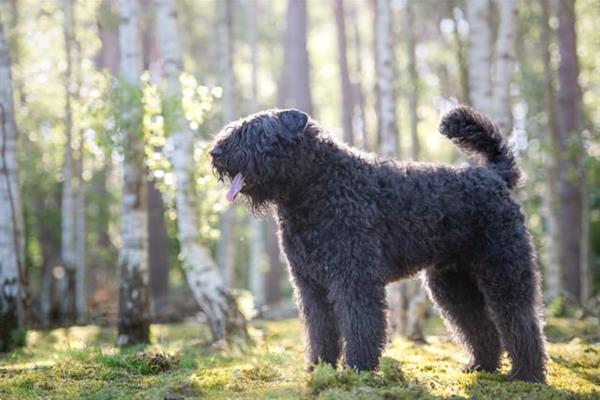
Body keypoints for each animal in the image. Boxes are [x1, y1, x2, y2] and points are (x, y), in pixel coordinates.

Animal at [211, 107, 548, 384]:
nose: (215, 151)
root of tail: (494, 177)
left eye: (256, 133)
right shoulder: (310, 284)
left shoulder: (353, 277)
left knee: (521, 320)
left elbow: (359, 323)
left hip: (503, 269)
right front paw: (320, 368)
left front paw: (358, 369)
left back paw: (526, 374)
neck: (318, 184)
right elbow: (320, 329)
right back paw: (482, 365)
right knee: (478, 323)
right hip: (452, 281)